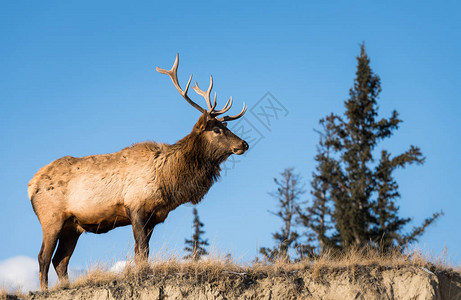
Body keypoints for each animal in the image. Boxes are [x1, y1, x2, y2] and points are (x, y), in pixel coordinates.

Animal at [28, 54, 248, 290]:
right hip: (51, 217)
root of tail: (31, 185)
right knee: (43, 257)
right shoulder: (136, 207)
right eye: (216, 129)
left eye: (226, 127)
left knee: (60, 260)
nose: (244, 144)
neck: (168, 180)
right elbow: (142, 250)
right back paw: (44, 290)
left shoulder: (153, 216)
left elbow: (141, 253)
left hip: (73, 226)